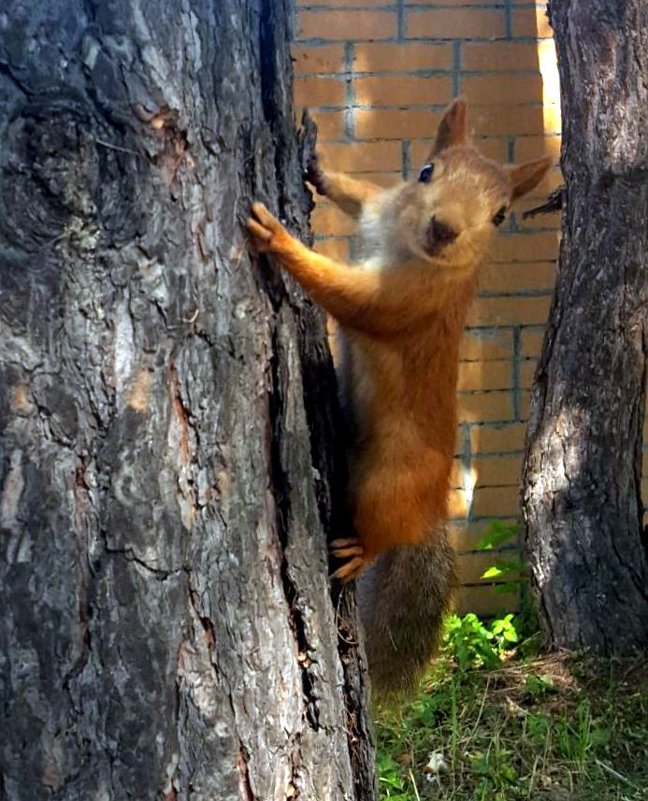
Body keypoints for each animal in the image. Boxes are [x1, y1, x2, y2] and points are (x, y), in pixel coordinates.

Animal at [248, 97, 552, 692]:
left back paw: (358, 550)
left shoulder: (407, 301)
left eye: (500, 214)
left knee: (381, 533)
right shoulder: (376, 207)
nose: (444, 228)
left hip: (386, 485)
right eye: (427, 171)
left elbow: (346, 295)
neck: (400, 237)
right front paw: (318, 171)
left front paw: (279, 240)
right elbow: (357, 192)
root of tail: (428, 510)